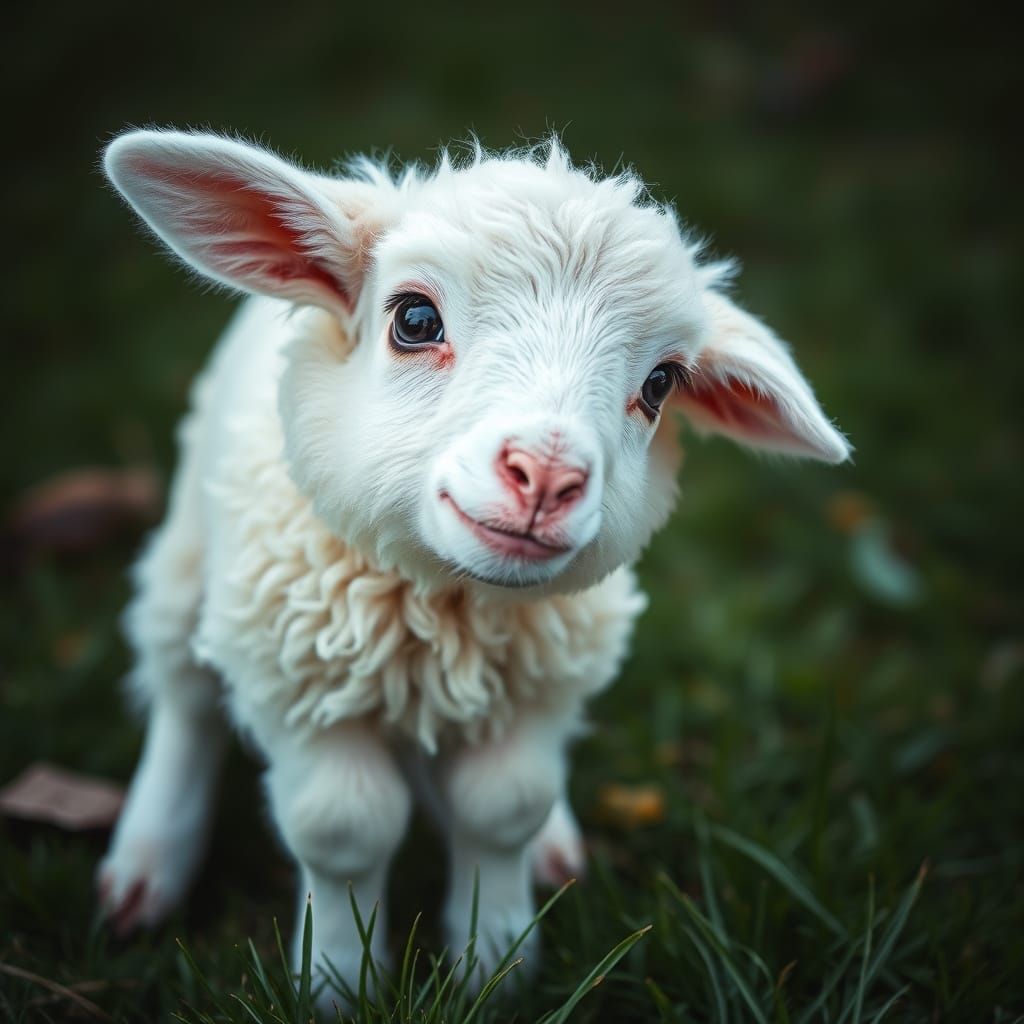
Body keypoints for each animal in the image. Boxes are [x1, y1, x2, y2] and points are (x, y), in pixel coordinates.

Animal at [95, 129, 850, 1007]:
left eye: (660, 383)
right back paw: (147, 865)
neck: (442, 606)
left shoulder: (539, 684)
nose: (547, 477)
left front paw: (495, 961)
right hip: (190, 555)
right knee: (181, 692)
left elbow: (502, 808)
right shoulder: (297, 682)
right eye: (415, 318)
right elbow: (342, 826)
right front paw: (338, 981)